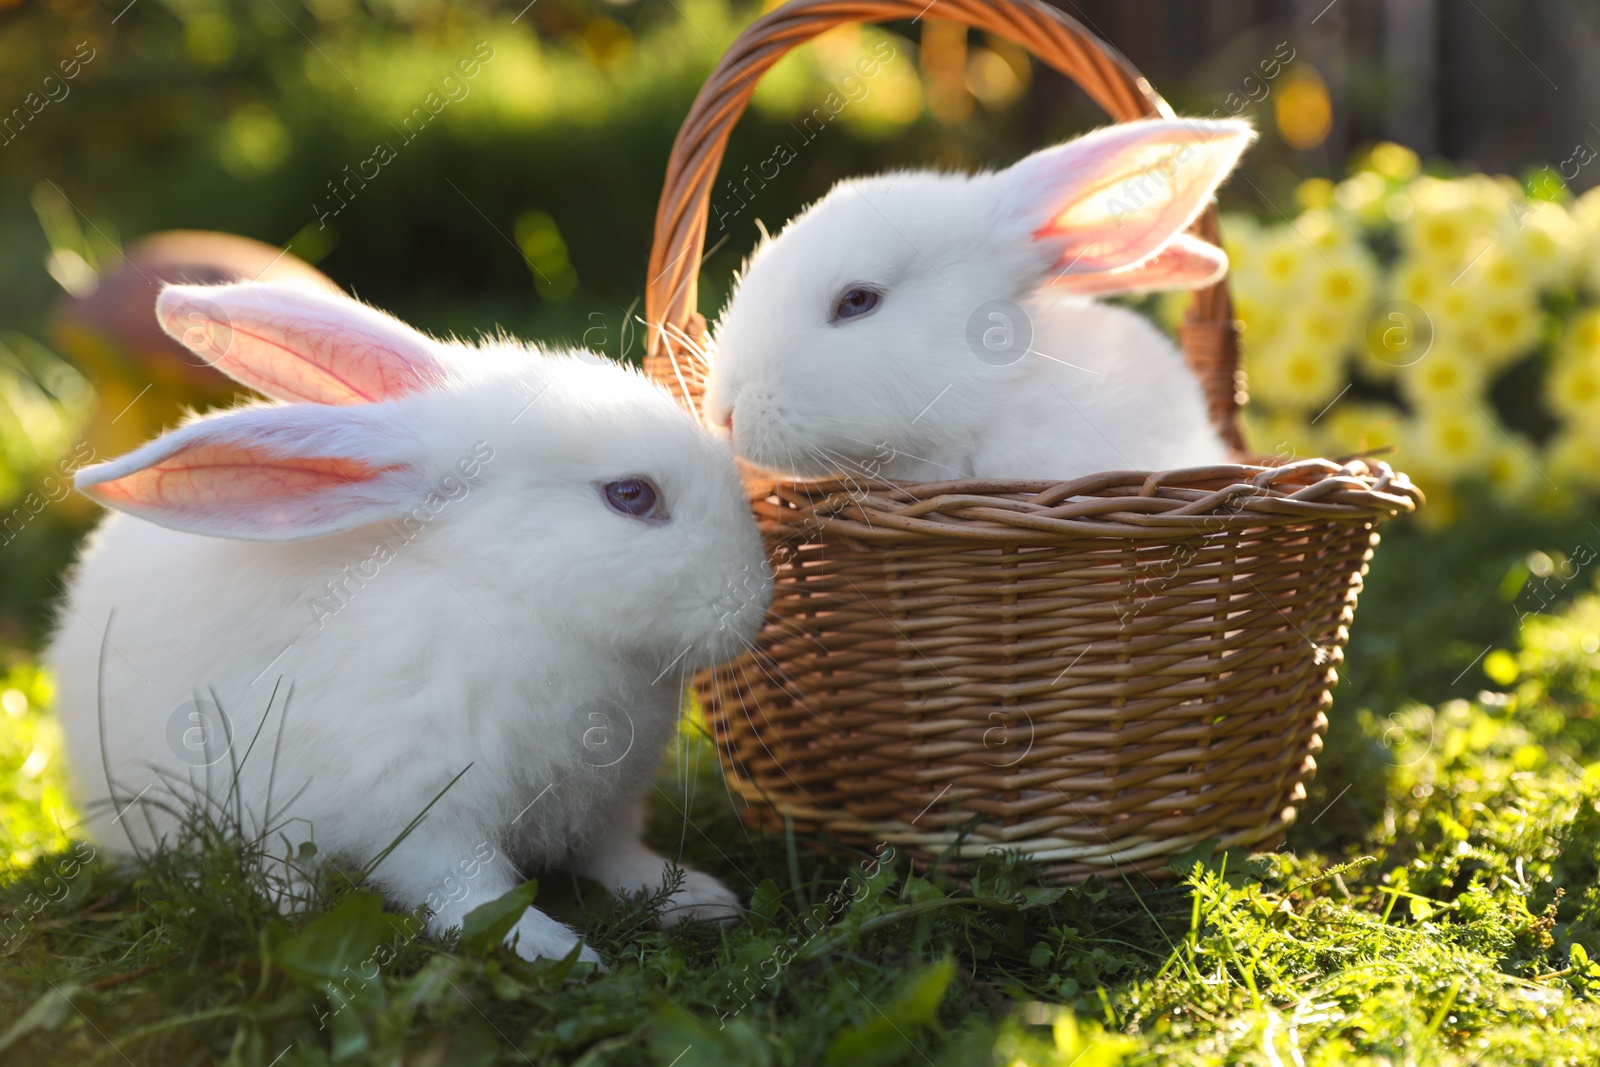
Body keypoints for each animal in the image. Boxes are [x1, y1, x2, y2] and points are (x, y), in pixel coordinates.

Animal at [46, 279, 771, 966]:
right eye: (631, 495)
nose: (756, 601)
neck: (500, 590)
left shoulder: (607, 806)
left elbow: (616, 855)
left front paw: (699, 898)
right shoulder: (422, 806)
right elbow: (469, 890)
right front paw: (548, 948)